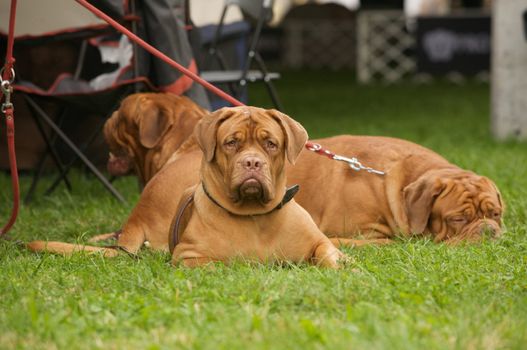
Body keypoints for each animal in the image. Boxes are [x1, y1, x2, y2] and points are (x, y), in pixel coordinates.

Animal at [167, 108, 344, 266]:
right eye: (231, 143)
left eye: (271, 143)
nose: (252, 162)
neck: (254, 213)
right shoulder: (188, 255)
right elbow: (214, 265)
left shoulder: (320, 242)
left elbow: (327, 253)